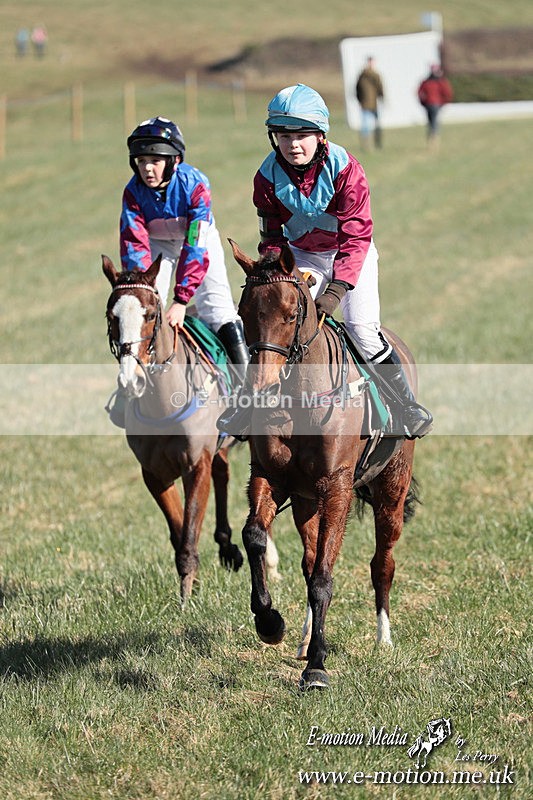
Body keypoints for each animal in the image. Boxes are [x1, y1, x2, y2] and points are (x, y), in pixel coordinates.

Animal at [102, 254, 244, 603]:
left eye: (151, 315)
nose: (131, 380)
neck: (162, 403)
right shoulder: (154, 473)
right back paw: (228, 548)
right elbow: (179, 530)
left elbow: (190, 530)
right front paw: (191, 584)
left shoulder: (196, 464)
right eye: (112, 317)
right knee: (223, 473)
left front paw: (185, 599)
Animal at [229, 240, 420, 690]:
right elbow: (255, 537)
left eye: (290, 314)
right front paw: (270, 622)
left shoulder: (337, 487)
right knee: (309, 557)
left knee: (381, 563)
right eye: (244, 314)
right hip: (305, 501)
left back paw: (383, 639)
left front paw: (317, 667)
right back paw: (302, 638)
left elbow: (323, 578)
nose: (262, 386)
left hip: (392, 489)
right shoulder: (271, 477)